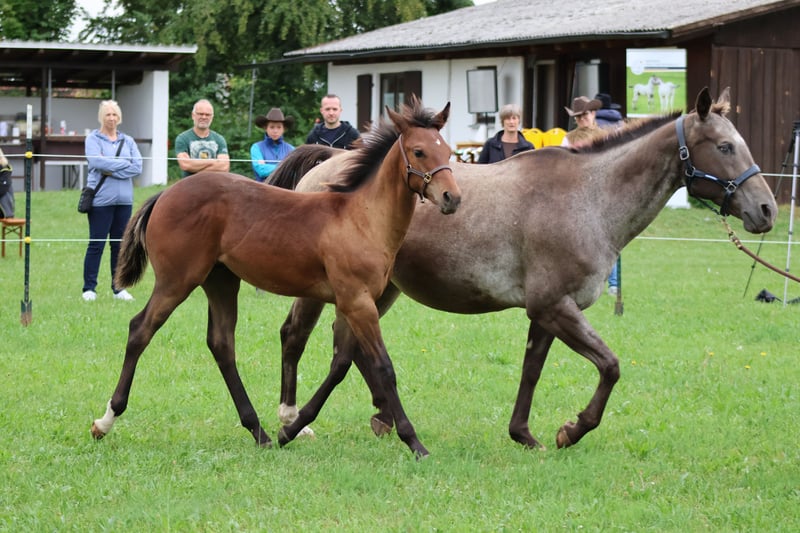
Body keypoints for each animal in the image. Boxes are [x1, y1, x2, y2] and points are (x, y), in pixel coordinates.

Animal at [89, 98, 461, 458]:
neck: (361, 218)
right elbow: (384, 367)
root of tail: (165, 194)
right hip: (177, 280)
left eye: (448, 151)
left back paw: (259, 432)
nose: (452, 198)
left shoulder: (353, 303)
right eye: (418, 151)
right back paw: (105, 421)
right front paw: (414, 442)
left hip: (221, 281)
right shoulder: (358, 302)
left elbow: (341, 364)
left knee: (221, 343)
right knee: (141, 329)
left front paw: (290, 430)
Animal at [270, 87, 776, 452]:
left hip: (379, 291)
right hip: (325, 291)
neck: (589, 197)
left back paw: (380, 416)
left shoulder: (549, 311)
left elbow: (531, 369)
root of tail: (328, 160)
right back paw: (292, 420)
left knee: (351, 350)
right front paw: (573, 429)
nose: (767, 210)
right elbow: (610, 366)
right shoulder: (555, 307)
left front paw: (525, 434)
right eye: (725, 146)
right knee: (295, 336)